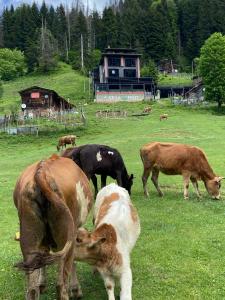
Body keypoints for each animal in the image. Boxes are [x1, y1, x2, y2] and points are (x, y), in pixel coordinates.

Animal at [13, 155, 92, 300]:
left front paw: (41, 283)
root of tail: (41, 172)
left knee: (32, 289)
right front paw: (76, 290)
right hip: (67, 236)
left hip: (29, 240)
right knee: (61, 285)